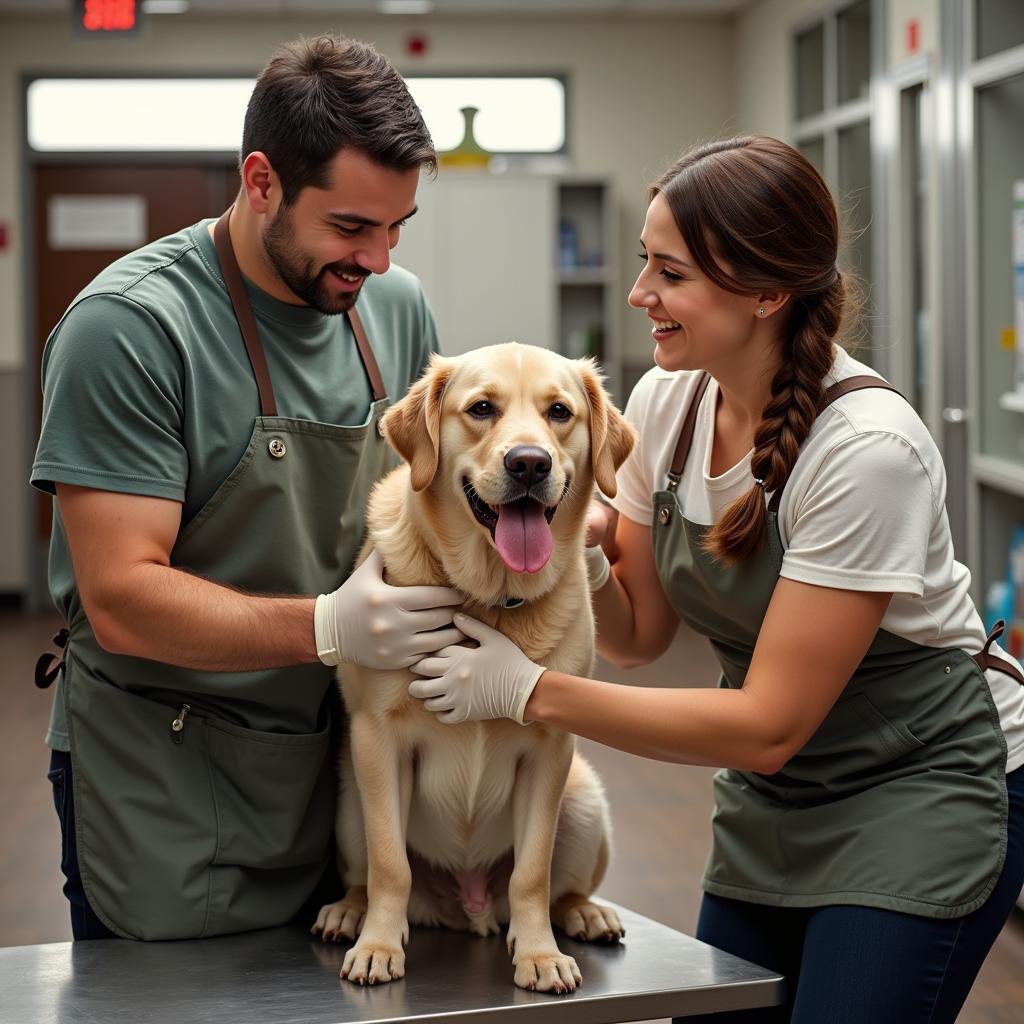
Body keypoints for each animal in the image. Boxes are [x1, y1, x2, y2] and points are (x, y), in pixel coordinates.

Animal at [311, 344, 630, 991]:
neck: (488, 596)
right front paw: (378, 945)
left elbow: (532, 873)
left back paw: (583, 913)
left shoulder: (550, 748)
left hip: (584, 800)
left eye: (560, 412)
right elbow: (391, 865)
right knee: (366, 874)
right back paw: (349, 913)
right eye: (482, 408)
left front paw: (539, 954)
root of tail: (470, 907)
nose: (529, 463)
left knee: (559, 888)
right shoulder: (378, 739)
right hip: (351, 800)